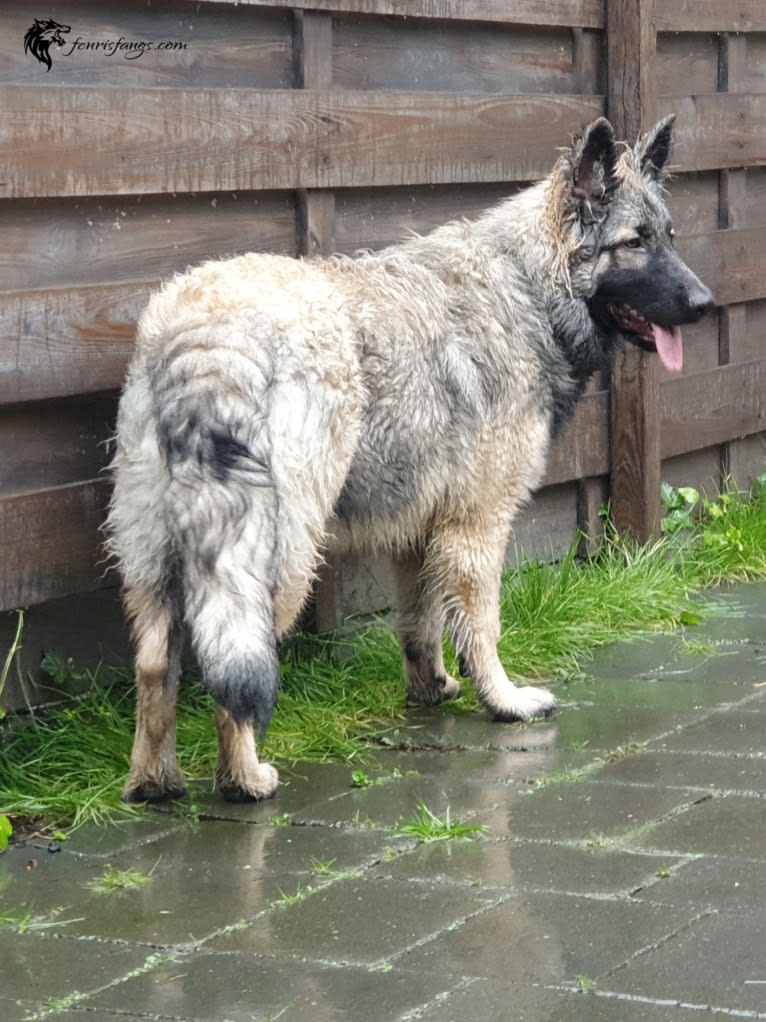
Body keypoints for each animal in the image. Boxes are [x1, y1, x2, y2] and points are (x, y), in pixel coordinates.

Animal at [106, 109, 714, 797]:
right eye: (634, 242)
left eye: (669, 236)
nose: (705, 304)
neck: (529, 286)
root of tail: (206, 338)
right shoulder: (478, 526)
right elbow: (480, 624)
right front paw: (503, 700)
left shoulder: (420, 531)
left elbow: (420, 621)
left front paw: (432, 688)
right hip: (279, 554)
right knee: (235, 664)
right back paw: (245, 779)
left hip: (153, 553)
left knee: (156, 664)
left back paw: (153, 781)